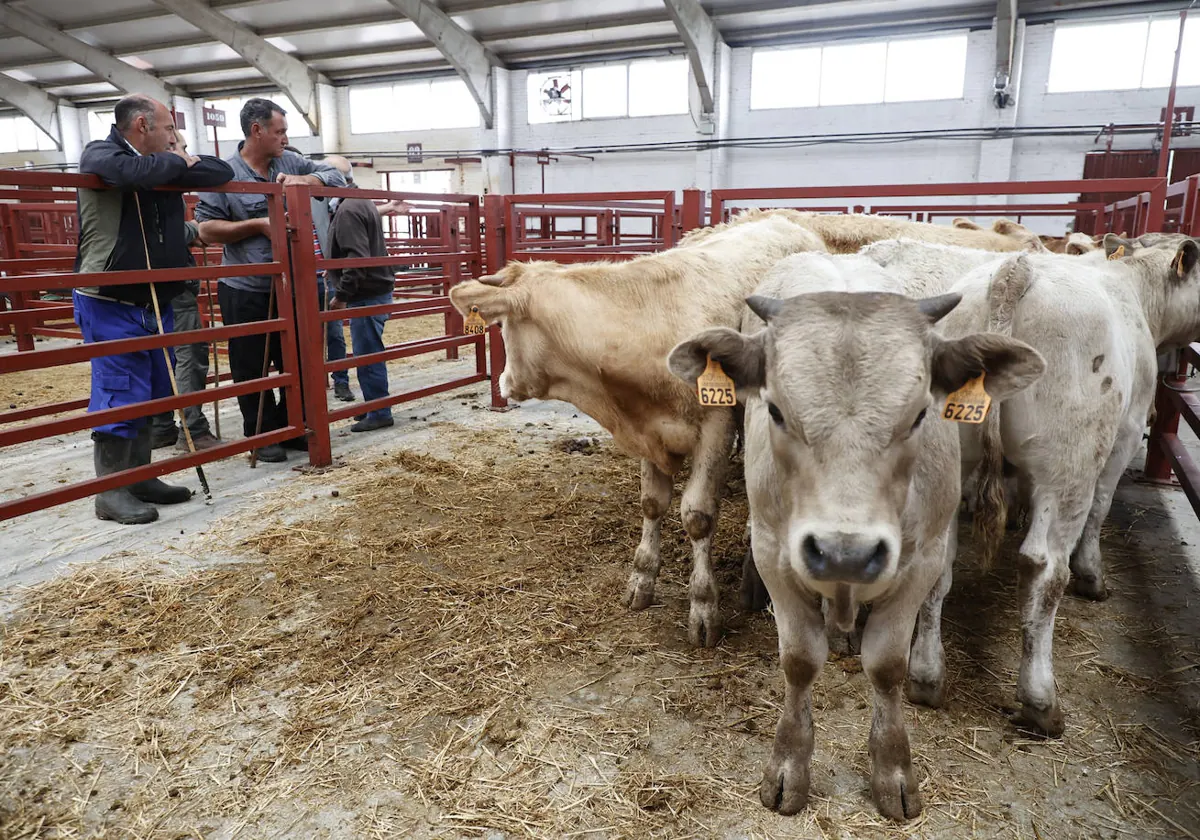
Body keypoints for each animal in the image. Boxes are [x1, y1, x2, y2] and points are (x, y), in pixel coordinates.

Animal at [448, 213, 825, 648]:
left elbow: (697, 515)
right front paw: (642, 578)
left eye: (506, 328)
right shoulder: (649, 430)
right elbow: (652, 504)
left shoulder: (716, 425)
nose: (505, 383)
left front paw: (703, 605)